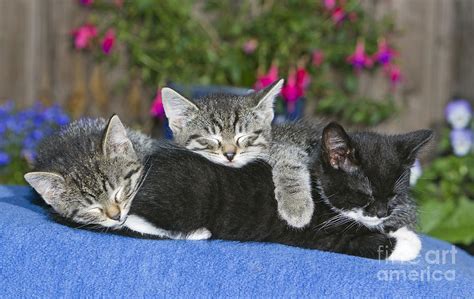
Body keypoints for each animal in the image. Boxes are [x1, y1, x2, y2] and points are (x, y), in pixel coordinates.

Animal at [164, 80, 318, 230]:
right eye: (212, 138)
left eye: (243, 136)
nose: (230, 154)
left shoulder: (285, 145)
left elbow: (289, 161)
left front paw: (295, 203)